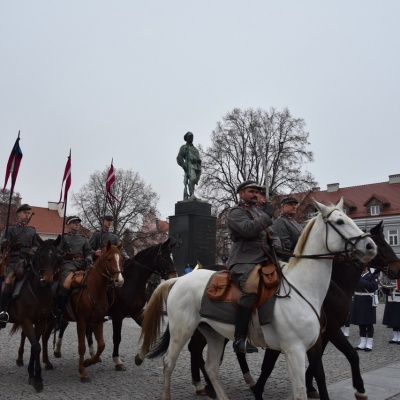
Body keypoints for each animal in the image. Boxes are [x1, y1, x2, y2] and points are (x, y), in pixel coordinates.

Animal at [5, 236, 60, 392]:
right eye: (41, 257)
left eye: (57, 257)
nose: (47, 281)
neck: (38, 292)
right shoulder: (26, 321)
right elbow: (36, 346)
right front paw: (38, 379)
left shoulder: (42, 321)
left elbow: (36, 344)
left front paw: (32, 374)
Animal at [41, 241, 123, 382]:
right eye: (109, 259)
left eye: (121, 259)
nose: (119, 280)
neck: (94, 290)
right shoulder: (82, 322)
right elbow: (82, 347)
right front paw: (82, 372)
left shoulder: (97, 321)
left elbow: (101, 345)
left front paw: (88, 362)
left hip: (52, 319)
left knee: (45, 337)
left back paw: (47, 362)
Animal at [139, 198, 376, 398]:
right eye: (340, 221)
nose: (370, 246)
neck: (303, 289)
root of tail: (179, 279)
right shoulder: (294, 350)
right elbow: (299, 389)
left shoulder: (313, 344)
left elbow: (317, 373)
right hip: (182, 330)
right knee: (169, 362)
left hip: (214, 334)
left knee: (211, 367)